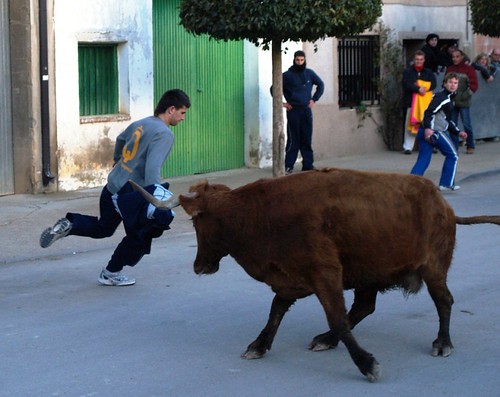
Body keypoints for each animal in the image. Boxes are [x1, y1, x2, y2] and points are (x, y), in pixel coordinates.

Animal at [131, 169, 500, 380]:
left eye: (197, 222)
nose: (199, 266)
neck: (258, 214)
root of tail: (442, 204)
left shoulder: (325, 273)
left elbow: (334, 314)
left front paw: (367, 364)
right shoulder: (292, 278)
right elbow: (277, 311)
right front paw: (259, 345)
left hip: (433, 267)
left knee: (444, 301)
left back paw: (443, 343)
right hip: (369, 275)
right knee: (364, 307)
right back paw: (327, 339)